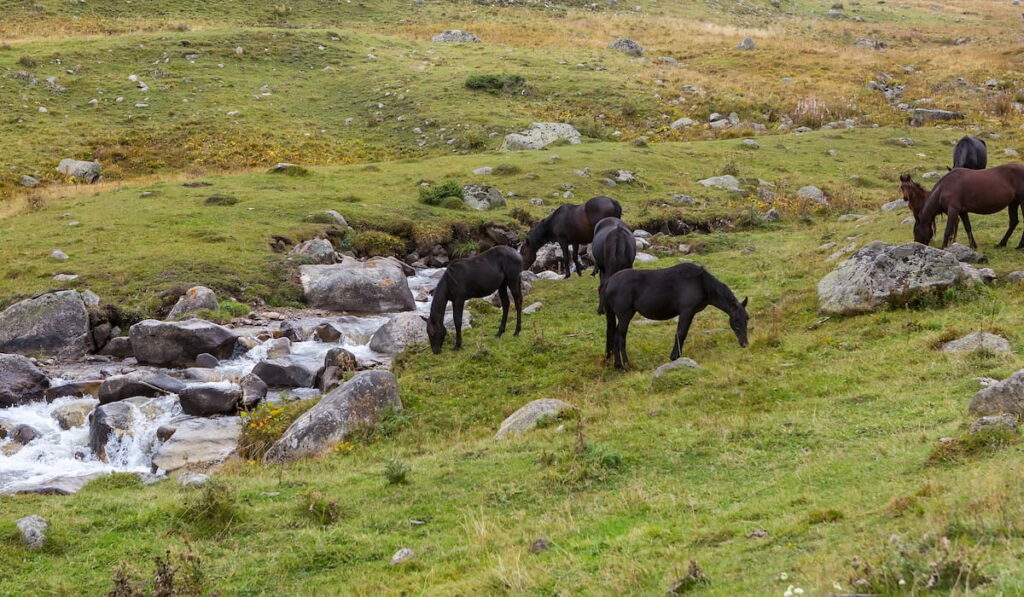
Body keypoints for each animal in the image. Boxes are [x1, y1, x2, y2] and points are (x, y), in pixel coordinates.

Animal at [598, 264, 753, 370]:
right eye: (736, 321)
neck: (701, 283)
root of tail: (609, 282)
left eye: (747, 318)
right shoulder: (686, 311)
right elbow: (680, 333)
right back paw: (626, 365)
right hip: (625, 316)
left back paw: (618, 365)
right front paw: (674, 357)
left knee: (614, 336)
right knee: (620, 338)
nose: (744, 344)